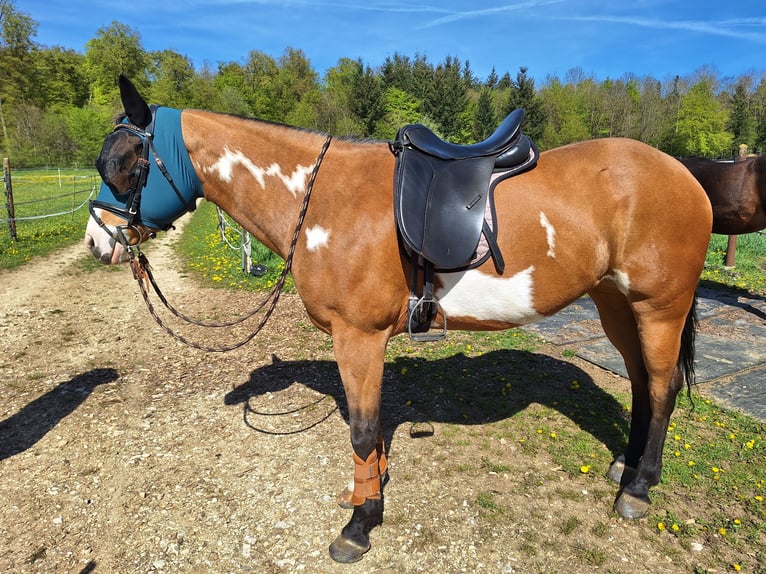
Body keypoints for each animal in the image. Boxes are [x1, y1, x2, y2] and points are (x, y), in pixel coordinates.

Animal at [85, 76, 712, 563]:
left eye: (125, 164)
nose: (98, 242)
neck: (322, 197)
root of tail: (684, 174)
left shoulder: (357, 337)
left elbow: (363, 430)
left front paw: (358, 526)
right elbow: (374, 428)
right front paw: (369, 495)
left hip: (659, 308)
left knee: (661, 389)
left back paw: (638, 488)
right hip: (615, 304)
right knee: (641, 383)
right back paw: (624, 467)